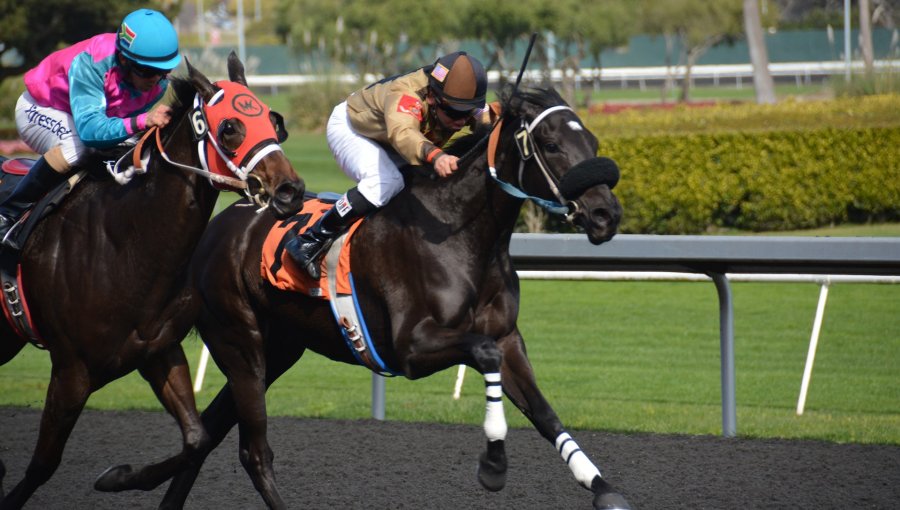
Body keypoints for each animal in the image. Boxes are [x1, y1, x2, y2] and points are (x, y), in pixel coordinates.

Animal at [0, 53, 306, 508]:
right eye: (230, 127)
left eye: (274, 119)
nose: (290, 191)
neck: (125, 244)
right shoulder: (72, 370)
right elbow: (42, 464)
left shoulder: (159, 351)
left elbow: (197, 440)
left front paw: (117, 477)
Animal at [98, 84, 628, 510]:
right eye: (551, 144)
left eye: (592, 142)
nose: (606, 215)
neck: (461, 235)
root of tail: (216, 228)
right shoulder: (412, 347)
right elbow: (483, 354)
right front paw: (493, 463)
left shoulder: (508, 336)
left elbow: (542, 410)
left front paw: (600, 485)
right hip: (239, 342)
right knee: (249, 449)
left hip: (278, 350)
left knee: (206, 433)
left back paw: (124, 478)